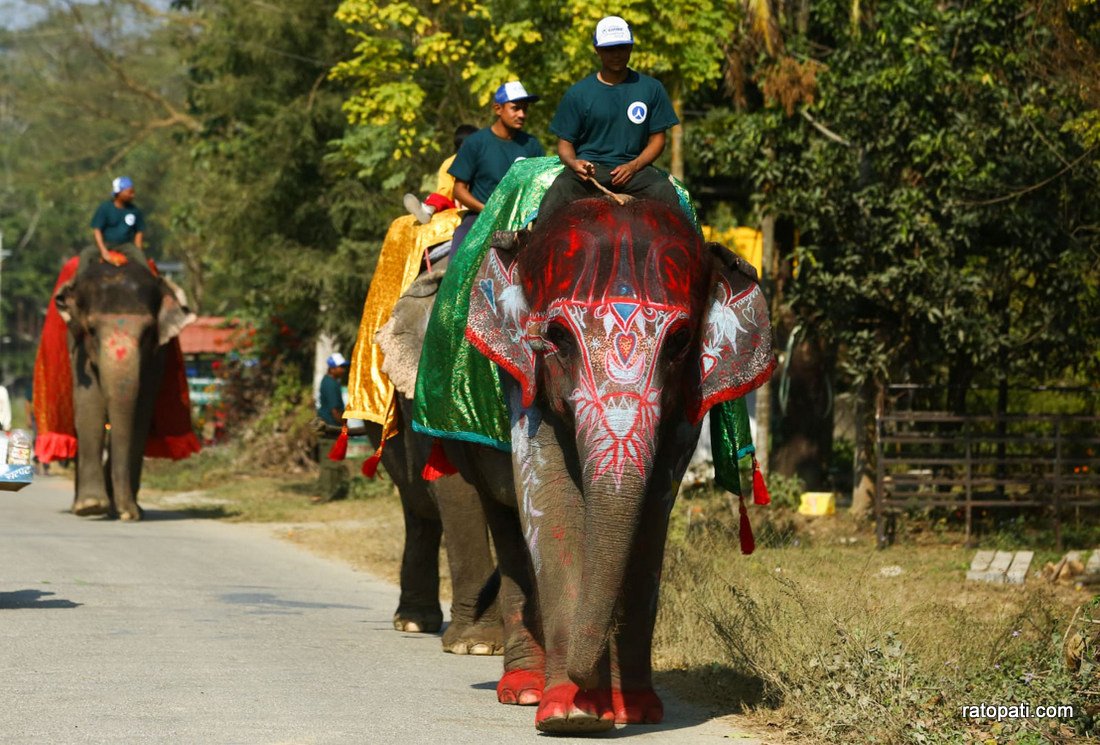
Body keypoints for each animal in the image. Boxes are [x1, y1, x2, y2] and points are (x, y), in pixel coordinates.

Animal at [42, 258, 200, 519]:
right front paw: (91, 505)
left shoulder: (157, 356)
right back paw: (84, 505)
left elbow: (141, 410)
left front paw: (127, 511)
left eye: (148, 332)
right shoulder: (78, 347)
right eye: (91, 330)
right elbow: (89, 403)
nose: (127, 513)